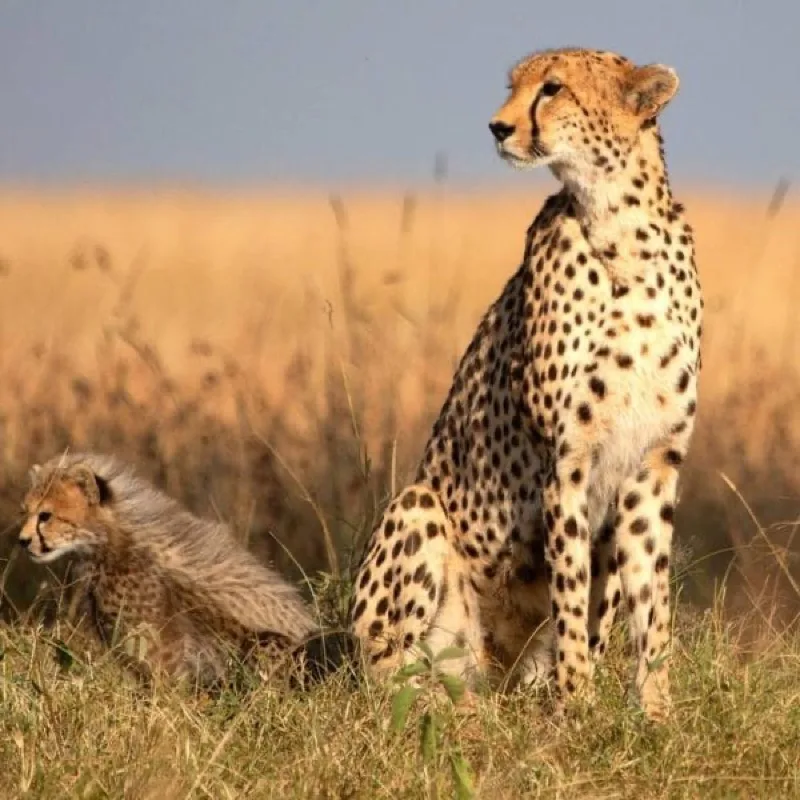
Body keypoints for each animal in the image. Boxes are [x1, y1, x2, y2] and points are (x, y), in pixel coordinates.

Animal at [349, 47, 703, 721]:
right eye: (514, 86)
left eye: (553, 89)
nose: (497, 127)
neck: (623, 230)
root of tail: (488, 680)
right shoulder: (567, 459)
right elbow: (568, 593)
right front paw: (578, 709)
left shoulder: (653, 463)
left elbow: (653, 604)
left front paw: (656, 714)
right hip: (417, 512)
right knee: (384, 680)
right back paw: (443, 708)